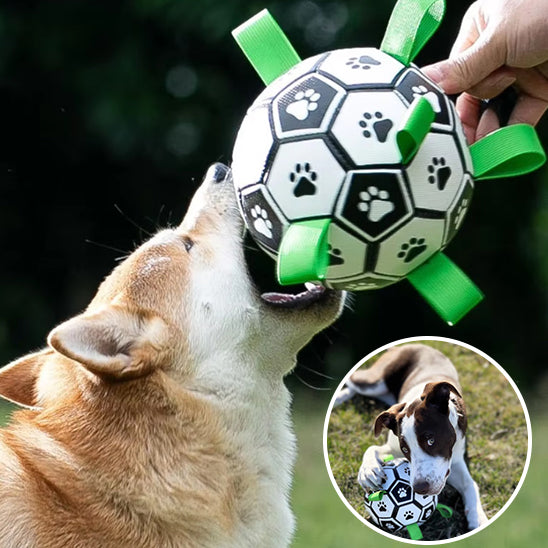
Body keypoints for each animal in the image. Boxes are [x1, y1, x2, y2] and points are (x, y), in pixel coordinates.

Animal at [334, 342, 488, 532]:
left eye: (431, 440)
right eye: (405, 449)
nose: (420, 489)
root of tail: (414, 344)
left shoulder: (455, 459)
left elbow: (470, 484)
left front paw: (478, 517)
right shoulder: (393, 446)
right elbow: (372, 448)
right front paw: (368, 471)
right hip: (374, 381)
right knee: (354, 379)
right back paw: (338, 397)